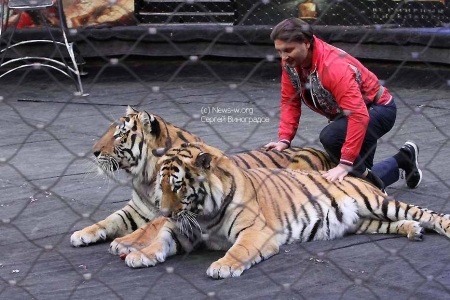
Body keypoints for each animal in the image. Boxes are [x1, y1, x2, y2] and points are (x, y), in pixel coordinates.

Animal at [70, 106, 334, 247]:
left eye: (120, 135)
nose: (94, 152)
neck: (143, 177)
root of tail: (322, 153)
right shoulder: (136, 208)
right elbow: (109, 219)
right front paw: (82, 234)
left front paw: (124, 242)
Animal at [120, 143, 450, 278]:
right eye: (160, 185)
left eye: (177, 186)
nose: (164, 212)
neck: (204, 213)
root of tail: (357, 176)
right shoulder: (184, 229)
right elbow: (161, 240)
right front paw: (141, 254)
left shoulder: (255, 232)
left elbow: (238, 251)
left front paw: (223, 266)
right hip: (365, 221)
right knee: (398, 222)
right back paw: (412, 231)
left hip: (379, 203)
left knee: (424, 212)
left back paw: (439, 226)